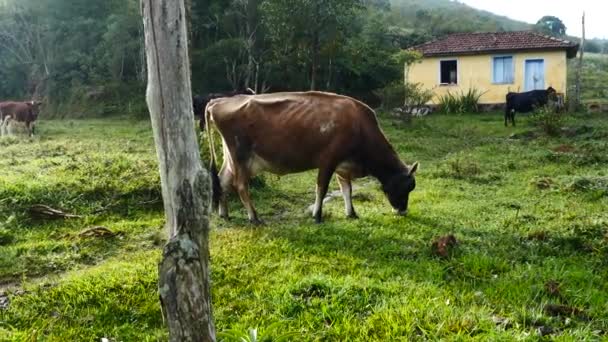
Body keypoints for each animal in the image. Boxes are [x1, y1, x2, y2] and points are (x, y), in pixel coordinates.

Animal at [204, 91, 418, 224]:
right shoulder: (328, 160)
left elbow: (346, 190)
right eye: (406, 187)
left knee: (223, 181)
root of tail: (218, 102)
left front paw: (351, 213)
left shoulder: (343, 165)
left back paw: (224, 214)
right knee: (240, 185)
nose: (402, 210)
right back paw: (254, 217)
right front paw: (317, 215)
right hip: (241, 156)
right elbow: (321, 189)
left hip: (230, 158)